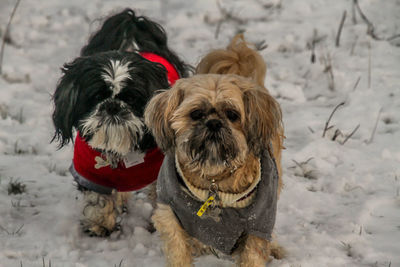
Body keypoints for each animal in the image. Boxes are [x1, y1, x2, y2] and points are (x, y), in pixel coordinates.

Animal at [52, 9, 189, 238]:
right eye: (97, 97)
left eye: (132, 99)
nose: (113, 106)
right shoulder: (90, 170)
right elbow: (98, 198)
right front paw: (99, 224)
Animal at [145, 35, 282, 266]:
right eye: (196, 113)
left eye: (232, 114)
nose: (214, 123)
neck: (214, 178)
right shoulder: (169, 212)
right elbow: (178, 248)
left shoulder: (259, 223)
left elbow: (253, 253)